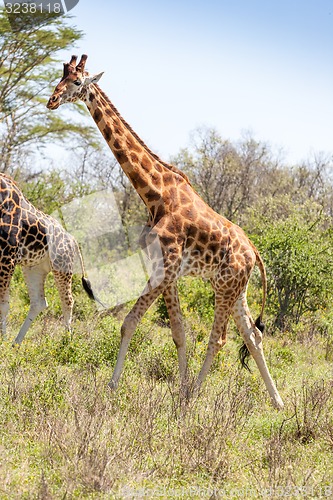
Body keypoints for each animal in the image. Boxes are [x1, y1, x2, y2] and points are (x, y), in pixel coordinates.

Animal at [0, 172, 98, 344]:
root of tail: (73, 240)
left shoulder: (7, 255)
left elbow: (3, 305)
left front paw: (2, 343)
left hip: (62, 266)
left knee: (68, 300)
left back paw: (67, 341)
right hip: (33, 267)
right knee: (39, 302)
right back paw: (16, 344)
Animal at [48, 53, 284, 410]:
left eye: (76, 82)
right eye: (58, 78)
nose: (51, 100)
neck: (155, 194)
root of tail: (254, 252)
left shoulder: (166, 267)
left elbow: (129, 323)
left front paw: (114, 388)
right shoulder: (165, 269)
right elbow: (178, 331)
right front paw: (177, 386)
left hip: (226, 286)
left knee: (219, 338)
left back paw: (194, 396)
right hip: (236, 288)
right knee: (252, 335)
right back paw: (278, 403)